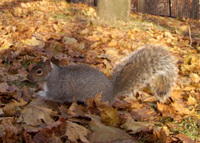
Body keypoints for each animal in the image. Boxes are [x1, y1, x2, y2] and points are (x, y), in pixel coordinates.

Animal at [27, 44, 177, 103]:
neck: (53, 76)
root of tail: (113, 92)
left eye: (39, 71)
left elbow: (53, 96)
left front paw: (40, 94)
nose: (27, 77)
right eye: (33, 66)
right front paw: (35, 90)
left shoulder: (58, 88)